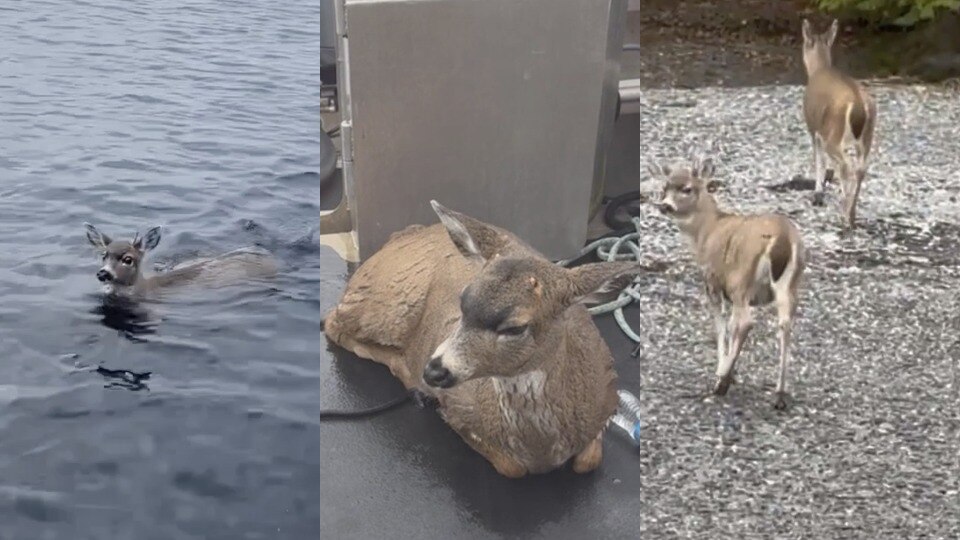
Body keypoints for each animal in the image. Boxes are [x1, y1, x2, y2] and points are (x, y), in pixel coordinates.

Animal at [323, 200, 666, 478]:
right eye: (462, 300)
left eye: (514, 328)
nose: (434, 371)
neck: (541, 449)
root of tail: (401, 236)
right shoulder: (459, 410)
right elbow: (511, 467)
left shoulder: (605, 397)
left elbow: (587, 461)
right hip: (382, 305)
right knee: (333, 322)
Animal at [651, 157, 806, 410]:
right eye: (664, 188)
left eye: (687, 188)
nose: (665, 206)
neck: (707, 231)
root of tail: (782, 239)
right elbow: (731, 326)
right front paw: (733, 373)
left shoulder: (713, 280)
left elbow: (722, 325)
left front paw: (725, 372)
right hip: (789, 283)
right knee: (784, 322)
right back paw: (780, 393)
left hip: (740, 279)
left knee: (746, 323)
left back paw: (721, 382)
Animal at [802, 18, 877, 228]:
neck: (819, 69)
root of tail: (859, 104)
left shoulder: (814, 128)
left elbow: (819, 161)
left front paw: (818, 194)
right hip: (867, 137)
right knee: (861, 167)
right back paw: (852, 214)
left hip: (834, 134)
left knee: (845, 165)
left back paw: (844, 215)